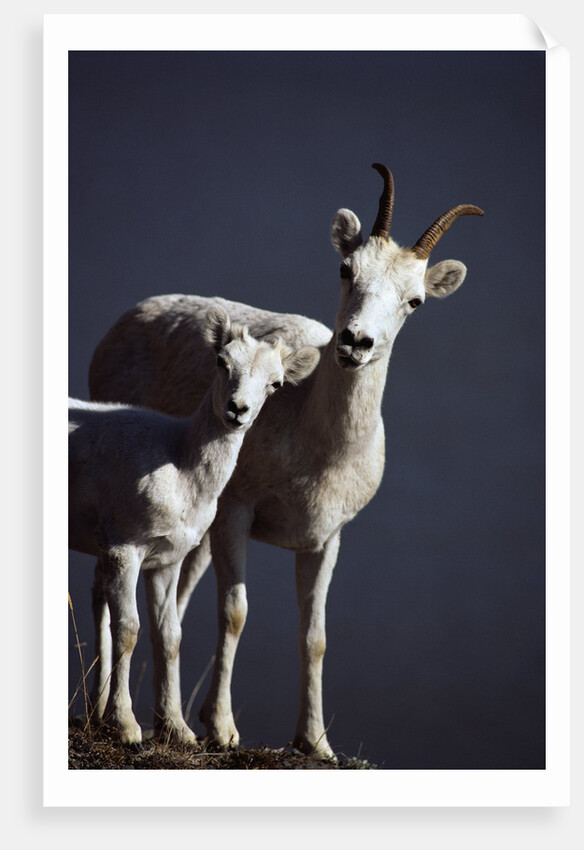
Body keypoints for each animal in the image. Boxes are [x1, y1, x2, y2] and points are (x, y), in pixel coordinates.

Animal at [69, 306, 319, 744]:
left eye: (275, 384)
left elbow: (169, 635)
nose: (237, 410)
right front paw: (127, 728)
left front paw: (178, 729)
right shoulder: (124, 548)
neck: (179, 464)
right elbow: (128, 629)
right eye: (222, 362)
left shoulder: (166, 559)